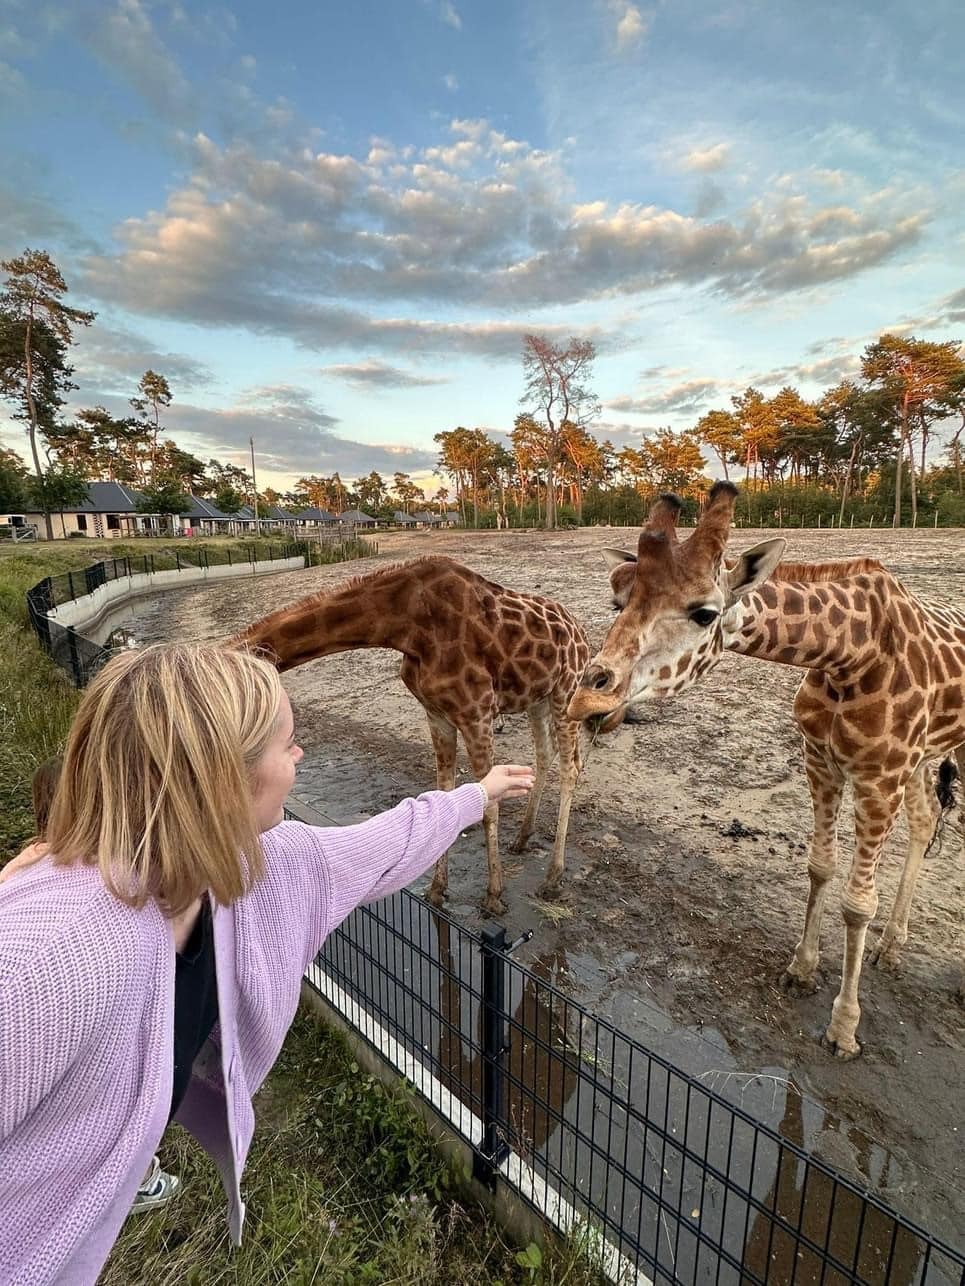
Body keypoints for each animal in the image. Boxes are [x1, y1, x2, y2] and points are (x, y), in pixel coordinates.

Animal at [238, 552, 594, 915]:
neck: (405, 625)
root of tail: (580, 631)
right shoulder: (437, 714)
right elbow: (445, 791)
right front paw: (437, 890)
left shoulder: (476, 712)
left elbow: (489, 804)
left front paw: (494, 896)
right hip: (538, 697)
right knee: (545, 754)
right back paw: (523, 838)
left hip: (567, 691)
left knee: (571, 767)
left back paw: (553, 878)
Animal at [571, 480, 962, 1054]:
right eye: (617, 601)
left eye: (704, 613)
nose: (588, 702)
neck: (849, 655)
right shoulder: (821, 759)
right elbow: (819, 867)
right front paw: (800, 970)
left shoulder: (878, 776)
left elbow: (857, 902)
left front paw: (844, 1028)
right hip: (919, 759)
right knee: (926, 818)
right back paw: (892, 947)